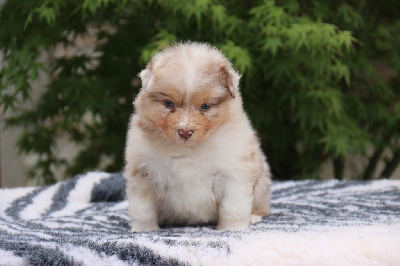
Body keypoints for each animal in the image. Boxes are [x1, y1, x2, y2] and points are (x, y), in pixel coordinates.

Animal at [124, 42, 272, 231]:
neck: (189, 150)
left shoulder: (235, 172)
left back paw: (254, 216)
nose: (185, 132)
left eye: (205, 106)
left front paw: (232, 229)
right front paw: (144, 230)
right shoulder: (143, 173)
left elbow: (233, 208)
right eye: (169, 103)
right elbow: (142, 210)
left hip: (262, 180)